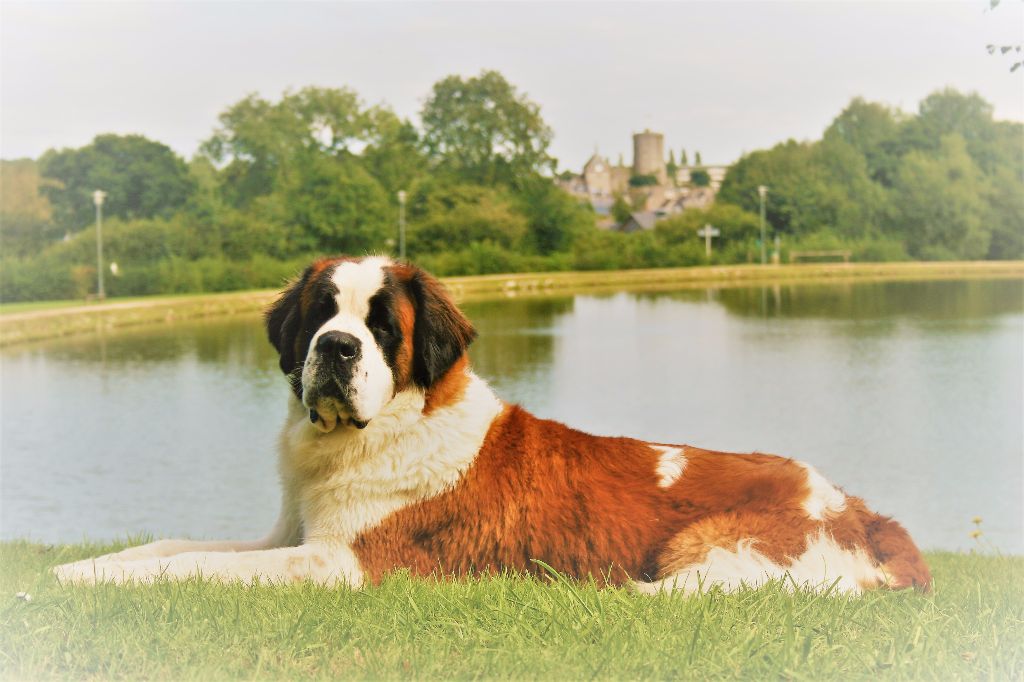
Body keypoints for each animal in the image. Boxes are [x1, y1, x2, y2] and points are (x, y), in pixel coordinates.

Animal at [58, 251, 937, 593]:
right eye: (319, 313)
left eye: (381, 326)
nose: (335, 348)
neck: (393, 425)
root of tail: (861, 507)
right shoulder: (288, 536)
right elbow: (172, 545)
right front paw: (82, 568)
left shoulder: (340, 562)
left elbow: (198, 564)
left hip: (713, 551)